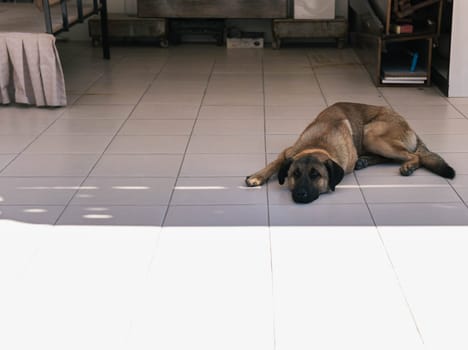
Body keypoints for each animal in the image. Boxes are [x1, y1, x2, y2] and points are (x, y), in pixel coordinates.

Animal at [247, 101, 456, 204]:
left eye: (316, 175)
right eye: (295, 174)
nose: (300, 194)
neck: (319, 144)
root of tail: (408, 125)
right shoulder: (288, 152)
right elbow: (273, 164)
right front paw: (258, 176)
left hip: (371, 134)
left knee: (415, 155)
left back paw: (408, 166)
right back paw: (365, 161)